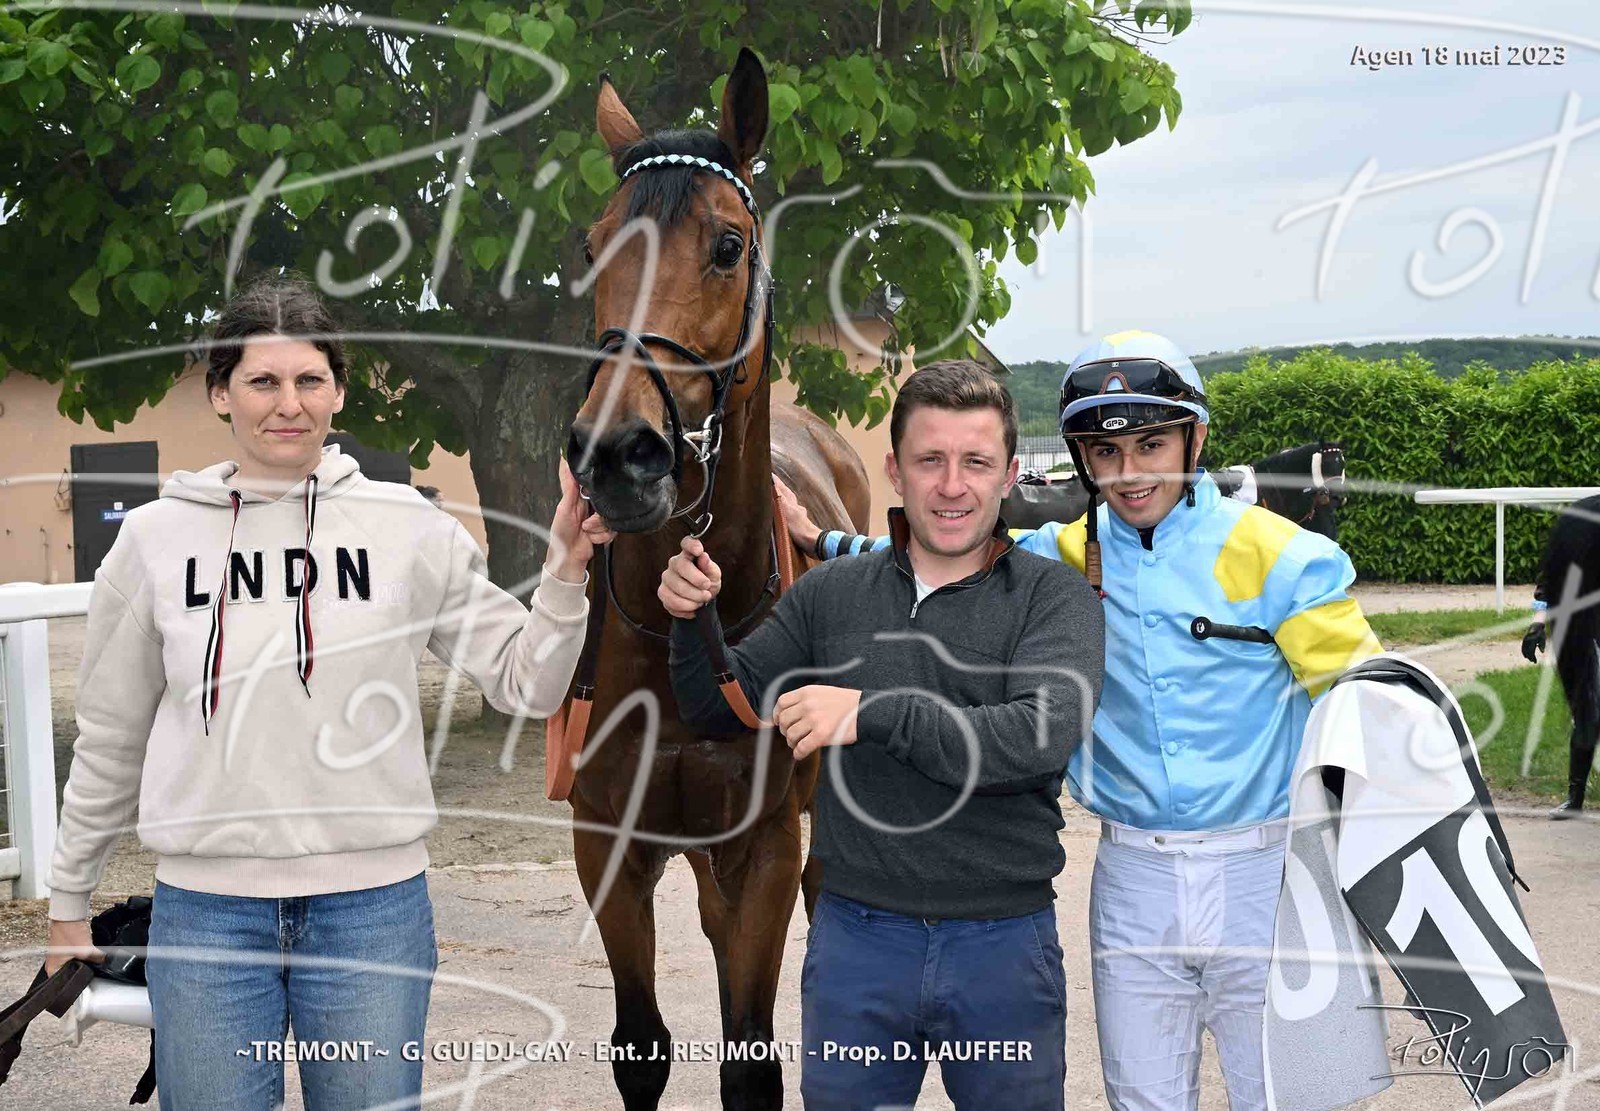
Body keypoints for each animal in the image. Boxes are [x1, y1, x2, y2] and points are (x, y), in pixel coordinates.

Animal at [562, 49, 869, 1111]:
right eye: (592, 249)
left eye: (727, 245)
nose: (617, 456)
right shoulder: (609, 844)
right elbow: (640, 1044)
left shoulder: (766, 842)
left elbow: (750, 1054)